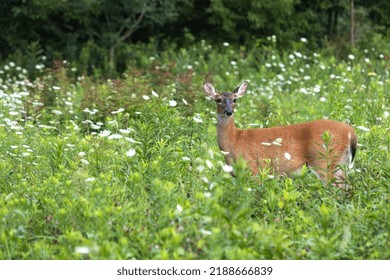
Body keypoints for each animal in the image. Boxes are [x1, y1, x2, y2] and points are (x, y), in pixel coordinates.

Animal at [203, 80, 358, 186]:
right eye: (218, 100)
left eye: (235, 99)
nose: (229, 112)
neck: (234, 140)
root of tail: (350, 131)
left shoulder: (254, 170)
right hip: (340, 163)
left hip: (323, 160)